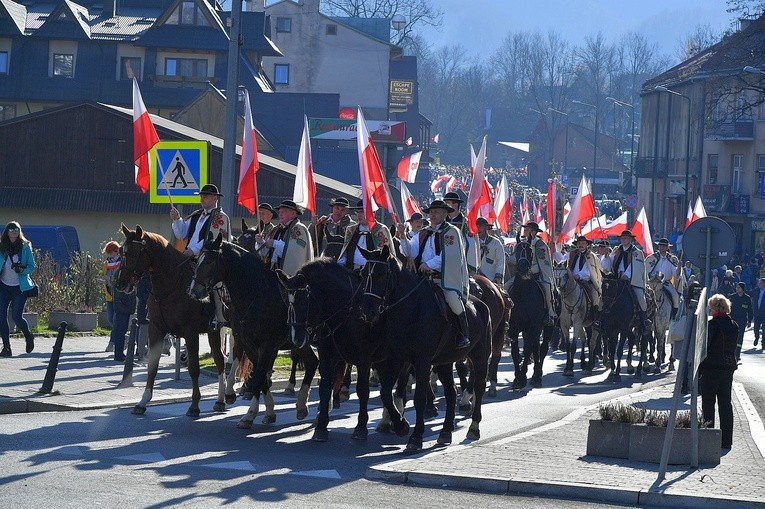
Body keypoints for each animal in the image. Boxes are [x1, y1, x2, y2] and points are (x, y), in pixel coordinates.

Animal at [115, 224, 230, 414]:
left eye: (133, 253)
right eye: (121, 251)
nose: (120, 283)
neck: (172, 284)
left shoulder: (191, 333)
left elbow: (193, 368)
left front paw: (194, 405)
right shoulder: (156, 329)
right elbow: (152, 366)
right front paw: (143, 402)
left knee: (224, 360)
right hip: (214, 331)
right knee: (220, 359)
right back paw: (222, 399)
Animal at [189, 236, 320, 426]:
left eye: (209, 261)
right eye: (197, 259)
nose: (193, 291)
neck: (257, 295)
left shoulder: (266, 346)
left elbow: (259, 375)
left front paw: (250, 414)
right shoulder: (248, 343)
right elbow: (260, 374)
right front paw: (269, 411)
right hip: (301, 342)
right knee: (312, 362)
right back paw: (302, 406)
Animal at [274, 258, 388, 440]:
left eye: (303, 301)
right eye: (287, 301)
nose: (295, 338)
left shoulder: (364, 358)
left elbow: (362, 390)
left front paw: (361, 427)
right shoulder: (327, 354)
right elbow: (325, 387)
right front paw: (321, 426)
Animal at [356, 246, 490, 452]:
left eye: (380, 274)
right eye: (363, 274)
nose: (366, 311)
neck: (410, 309)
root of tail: (482, 304)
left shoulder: (423, 361)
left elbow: (419, 398)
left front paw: (416, 436)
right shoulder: (397, 359)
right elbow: (385, 393)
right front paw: (401, 425)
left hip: (480, 357)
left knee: (479, 387)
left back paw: (474, 427)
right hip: (444, 362)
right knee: (451, 391)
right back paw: (445, 432)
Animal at [510, 237, 552, 388]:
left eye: (529, 250)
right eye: (517, 249)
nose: (523, 267)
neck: (523, 293)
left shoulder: (534, 325)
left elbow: (527, 349)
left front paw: (522, 378)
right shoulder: (514, 328)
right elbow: (515, 352)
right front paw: (517, 378)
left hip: (548, 327)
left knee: (542, 349)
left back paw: (537, 375)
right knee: (536, 348)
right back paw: (534, 375)